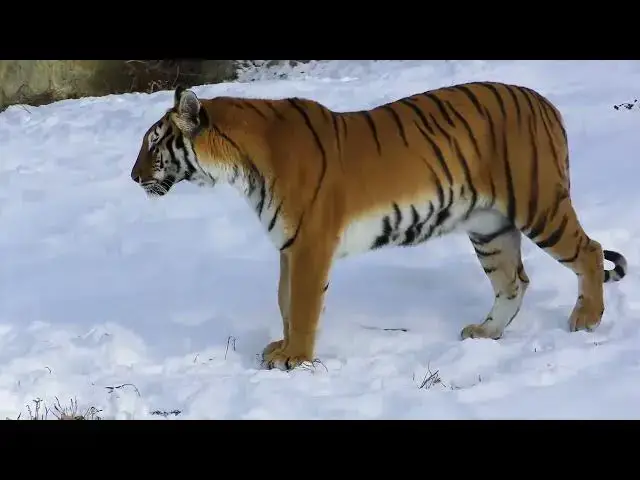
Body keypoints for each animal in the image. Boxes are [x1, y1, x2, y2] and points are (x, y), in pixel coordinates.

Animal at [130, 82, 628, 371]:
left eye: (154, 142)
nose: (133, 178)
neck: (239, 167)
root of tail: (546, 103)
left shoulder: (309, 244)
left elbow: (302, 306)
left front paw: (296, 358)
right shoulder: (288, 246)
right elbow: (284, 302)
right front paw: (282, 348)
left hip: (538, 205)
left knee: (589, 250)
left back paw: (586, 318)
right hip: (489, 227)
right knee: (514, 282)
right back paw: (485, 333)